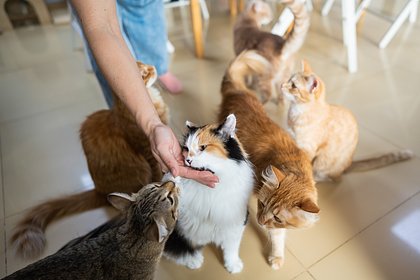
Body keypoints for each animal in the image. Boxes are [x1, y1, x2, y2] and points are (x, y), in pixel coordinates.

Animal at [9, 61, 169, 260]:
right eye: (144, 73)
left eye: (142, 63)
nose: (153, 68)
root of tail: (98, 190)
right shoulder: (150, 154)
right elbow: (158, 175)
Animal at [162, 114, 253, 274]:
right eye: (186, 148)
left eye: (202, 148)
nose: (188, 160)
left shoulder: (236, 221)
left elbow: (232, 247)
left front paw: (233, 265)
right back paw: (194, 261)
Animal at [218, 50, 320, 270]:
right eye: (262, 204)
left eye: (277, 217)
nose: (260, 221)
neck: (294, 167)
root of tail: (239, 91)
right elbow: (277, 237)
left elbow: (278, 236)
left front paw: (277, 256)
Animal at [278, 60, 414, 180]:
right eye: (288, 79)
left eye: (294, 86)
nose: (281, 85)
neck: (296, 112)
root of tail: (348, 165)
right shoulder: (293, 141)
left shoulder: (308, 148)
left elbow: (303, 163)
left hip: (324, 164)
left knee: (331, 176)